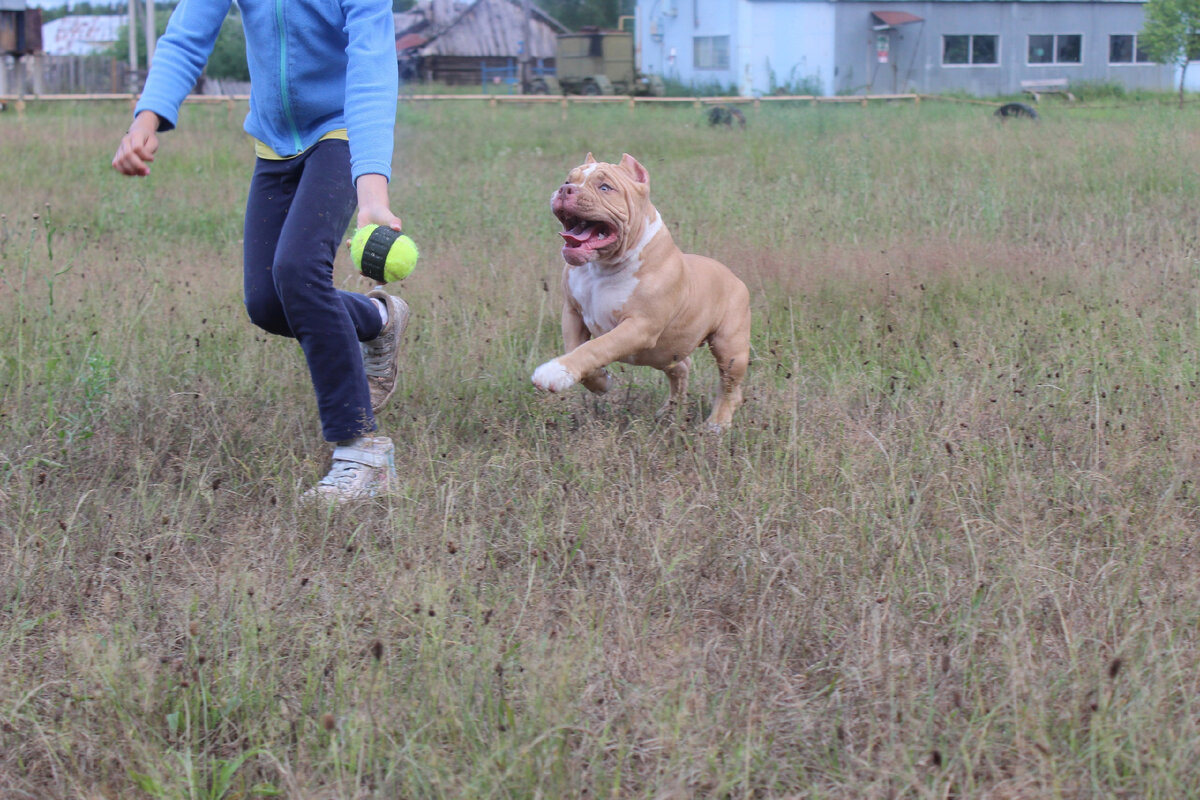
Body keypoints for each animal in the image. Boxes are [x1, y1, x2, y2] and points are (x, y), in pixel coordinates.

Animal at [528, 154, 744, 434]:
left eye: (605, 187)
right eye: (567, 181)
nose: (566, 190)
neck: (602, 267)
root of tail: (735, 277)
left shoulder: (639, 326)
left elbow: (596, 347)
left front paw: (554, 372)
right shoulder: (573, 312)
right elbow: (575, 346)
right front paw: (599, 381)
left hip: (730, 348)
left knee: (729, 386)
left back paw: (717, 423)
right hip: (667, 352)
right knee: (681, 367)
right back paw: (670, 410)